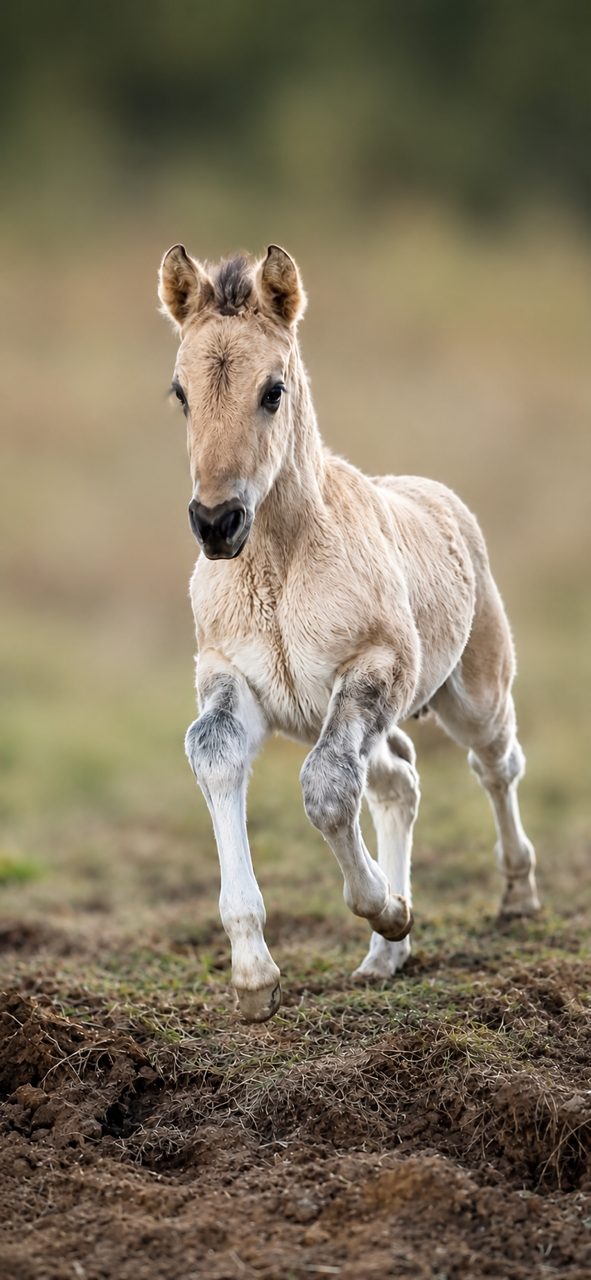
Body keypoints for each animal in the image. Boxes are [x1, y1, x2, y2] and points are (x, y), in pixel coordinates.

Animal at [158, 242, 539, 1023]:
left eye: (273, 390)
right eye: (180, 392)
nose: (216, 523)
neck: (276, 568)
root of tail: (439, 496)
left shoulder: (375, 667)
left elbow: (327, 786)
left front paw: (386, 909)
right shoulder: (229, 677)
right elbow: (213, 753)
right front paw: (255, 977)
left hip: (472, 691)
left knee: (494, 763)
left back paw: (516, 898)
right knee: (398, 778)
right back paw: (383, 958)